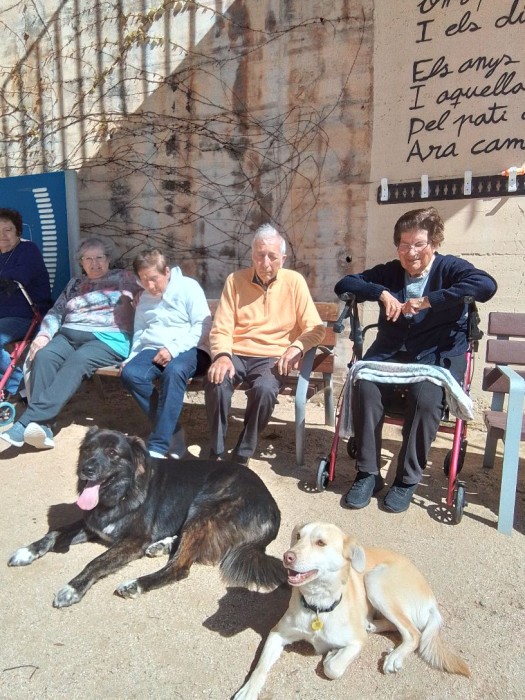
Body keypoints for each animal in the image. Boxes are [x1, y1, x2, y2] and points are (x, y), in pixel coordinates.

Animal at [8, 427, 286, 608]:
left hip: (205, 506)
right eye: (87, 449)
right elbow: (54, 531)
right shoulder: (91, 524)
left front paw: (72, 588)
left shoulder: (133, 540)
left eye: (112, 453)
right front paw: (27, 551)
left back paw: (136, 584)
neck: (122, 493)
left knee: (180, 567)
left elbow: (96, 562)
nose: (85, 469)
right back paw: (162, 545)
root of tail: (274, 507)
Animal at [234, 521, 470, 699]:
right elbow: (260, 666)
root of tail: (431, 600)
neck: (317, 606)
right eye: (298, 536)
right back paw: (371, 625)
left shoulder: (357, 642)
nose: (287, 556)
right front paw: (248, 690)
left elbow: (334, 668)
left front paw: (331, 656)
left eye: (321, 542)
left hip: (375, 580)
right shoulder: (277, 633)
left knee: (413, 633)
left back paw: (394, 656)